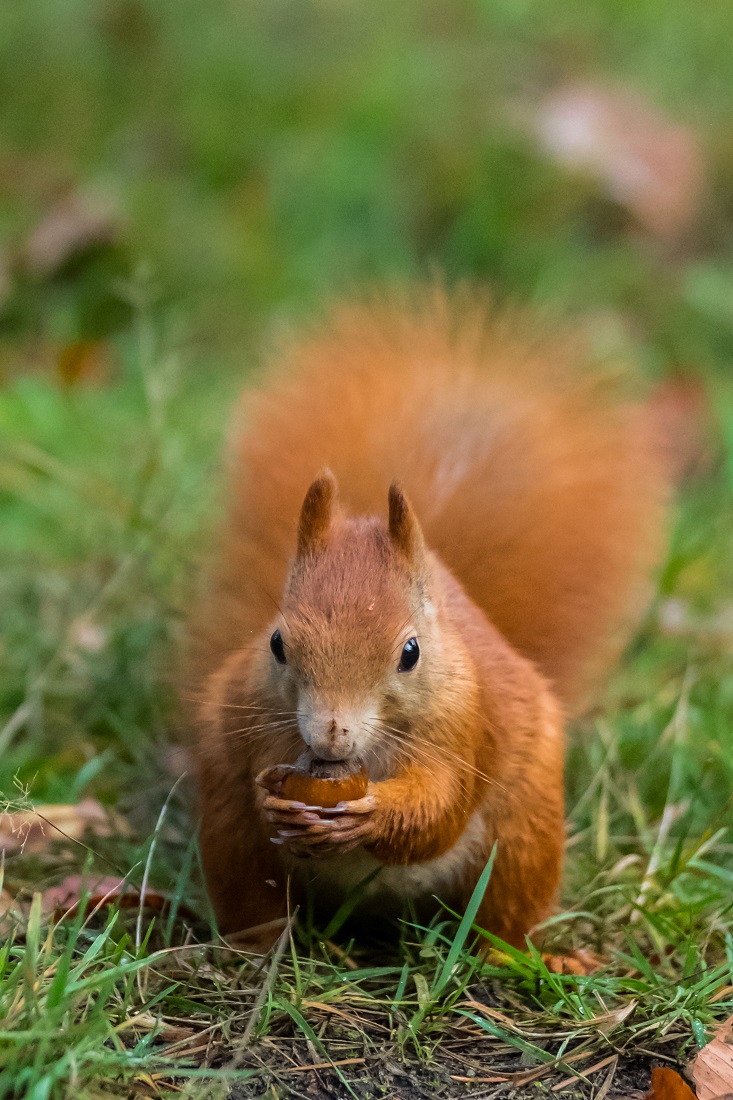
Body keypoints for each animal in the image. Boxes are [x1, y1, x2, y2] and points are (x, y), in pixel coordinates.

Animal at [189, 288, 669, 950]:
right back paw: (255, 945)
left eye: (411, 652)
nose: (330, 734)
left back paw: (512, 956)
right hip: (229, 834)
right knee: (253, 895)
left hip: (521, 842)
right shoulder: (250, 713)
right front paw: (273, 802)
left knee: (505, 906)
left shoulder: (465, 727)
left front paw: (375, 815)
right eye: (278, 643)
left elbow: (438, 811)